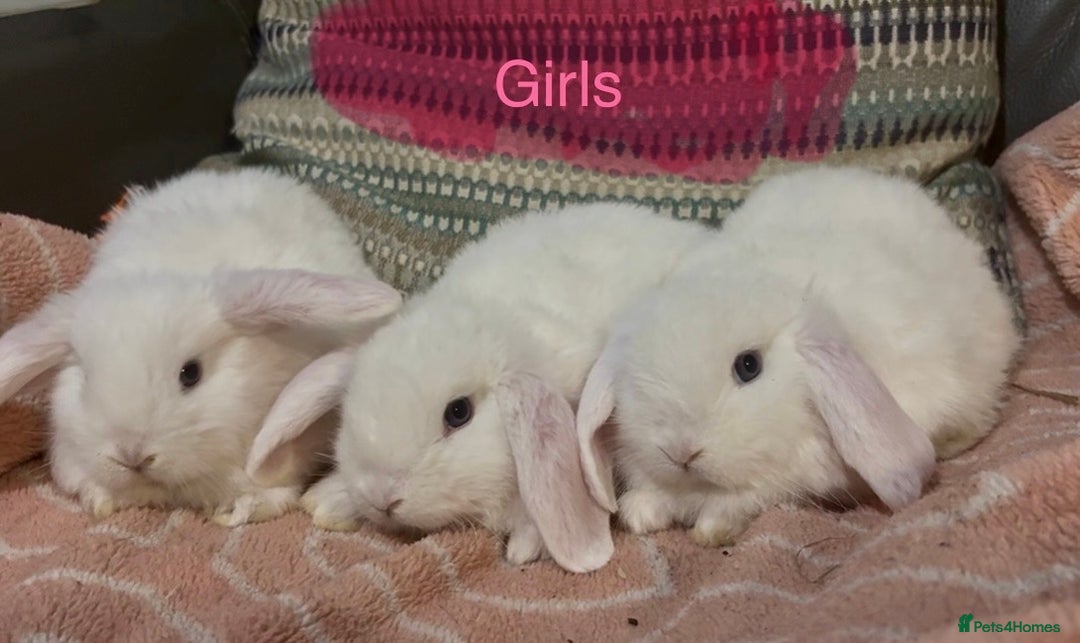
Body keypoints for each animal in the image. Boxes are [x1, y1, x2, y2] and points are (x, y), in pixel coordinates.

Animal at [576, 166, 1021, 547]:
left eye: (749, 366)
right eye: (635, 376)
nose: (682, 452)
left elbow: (748, 497)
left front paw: (712, 528)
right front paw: (640, 514)